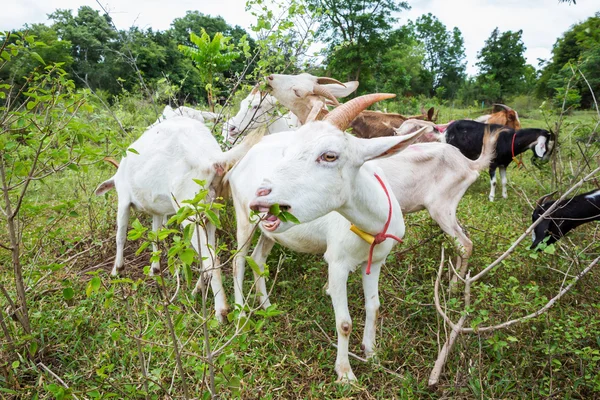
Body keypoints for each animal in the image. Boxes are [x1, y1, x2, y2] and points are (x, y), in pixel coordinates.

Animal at [95, 116, 262, 322]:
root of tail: (210, 158)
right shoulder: (158, 211)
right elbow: (155, 236)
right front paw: (155, 269)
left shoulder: (124, 198)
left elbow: (120, 235)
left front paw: (116, 270)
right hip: (211, 211)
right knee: (209, 251)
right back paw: (199, 289)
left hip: (188, 208)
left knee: (211, 259)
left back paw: (220, 311)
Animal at [227, 94, 424, 382]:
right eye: (286, 152)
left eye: (329, 155)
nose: (260, 194)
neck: (372, 224)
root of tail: (243, 160)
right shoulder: (337, 263)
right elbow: (344, 323)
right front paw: (345, 374)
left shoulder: (375, 262)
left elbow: (374, 307)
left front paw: (372, 354)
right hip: (243, 218)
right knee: (238, 261)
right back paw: (241, 315)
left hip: (271, 231)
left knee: (258, 258)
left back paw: (266, 305)